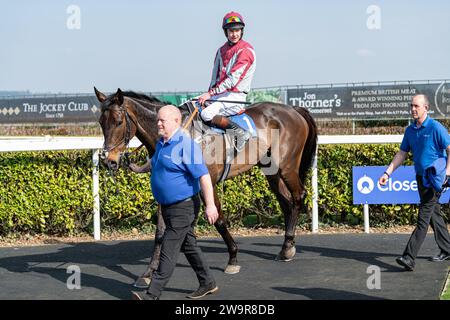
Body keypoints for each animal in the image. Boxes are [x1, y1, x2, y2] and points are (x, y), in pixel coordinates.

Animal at [95, 86, 318, 286]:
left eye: (118, 121)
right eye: (100, 122)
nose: (108, 161)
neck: (180, 135)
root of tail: (294, 109)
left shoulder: (207, 181)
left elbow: (218, 219)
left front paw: (233, 258)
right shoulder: (166, 186)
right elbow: (160, 232)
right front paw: (148, 272)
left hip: (287, 165)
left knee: (298, 196)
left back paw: (287, 247)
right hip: (271, 170)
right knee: (286, 202)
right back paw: (287, 246)